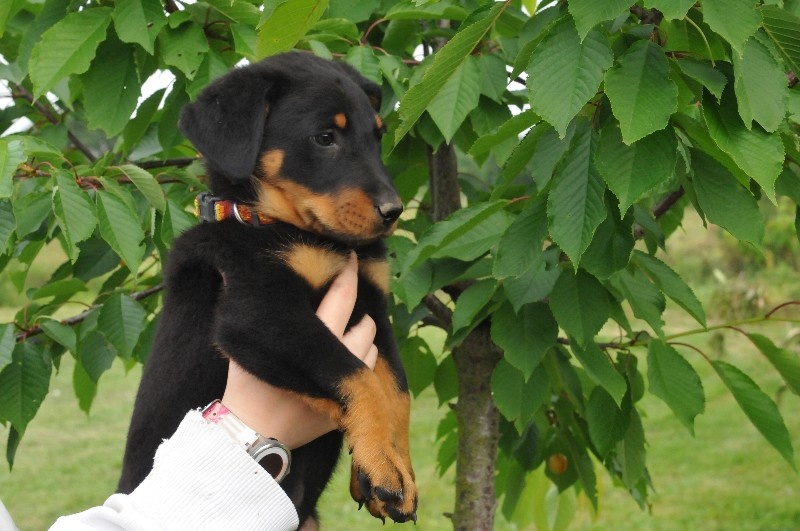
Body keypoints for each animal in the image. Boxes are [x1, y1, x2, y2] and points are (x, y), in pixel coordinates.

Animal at [118, 52, 417, 526]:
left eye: (378, 136)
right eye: (325, 137)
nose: (394, 211)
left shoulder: (372, 308)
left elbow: (397, 392)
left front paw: (393, 471)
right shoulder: (257, 315)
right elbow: (356, 373)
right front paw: (383, 467)